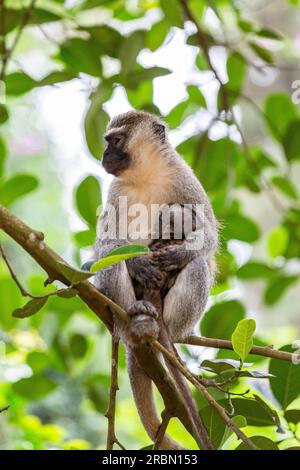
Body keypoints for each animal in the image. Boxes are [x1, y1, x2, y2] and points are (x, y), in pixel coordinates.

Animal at [94, 109, 218, 448]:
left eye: (116, 140)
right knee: (111, 263)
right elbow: (105, 245)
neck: (146, 173)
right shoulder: (116, 191)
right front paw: (138, 262)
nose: (104, 154)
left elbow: (209, 236)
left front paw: (178, 253)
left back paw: (162, 332)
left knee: (197, 265)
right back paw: (134, 320)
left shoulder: (185, 177)